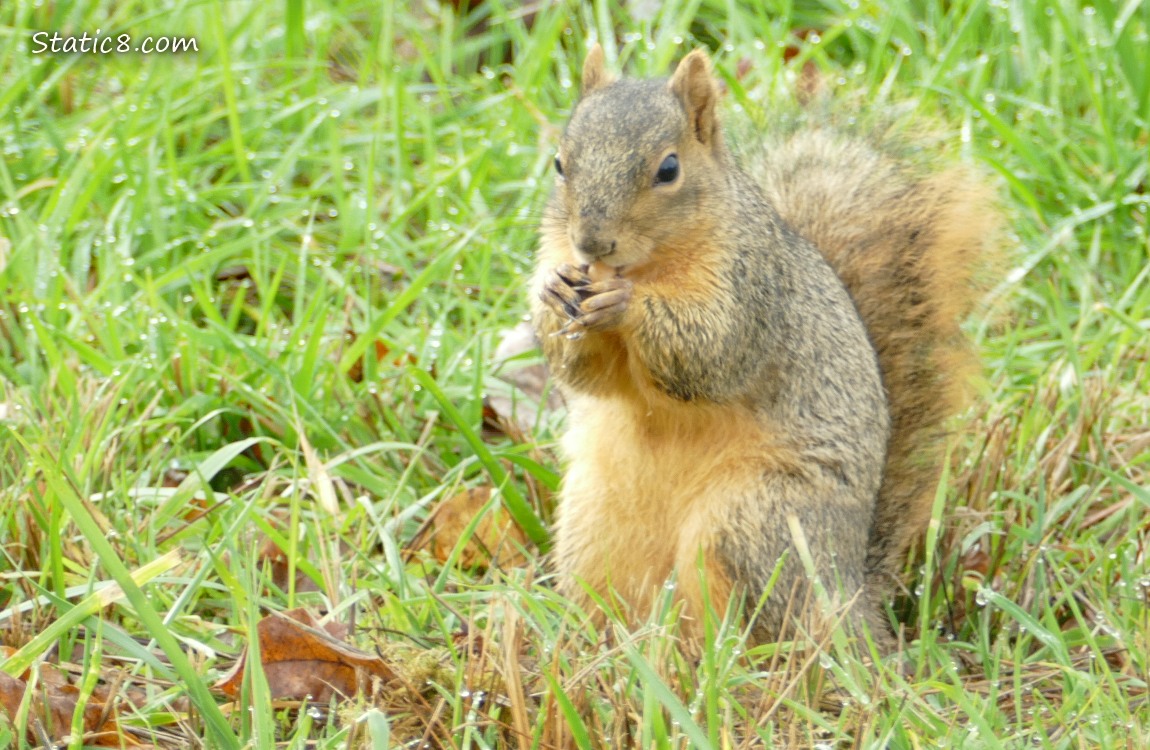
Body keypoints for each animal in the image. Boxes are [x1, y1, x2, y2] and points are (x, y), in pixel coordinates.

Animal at [530, 45, 999, 647]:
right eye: (559, 164)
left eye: (668, 169)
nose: (591, 243)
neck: (648, 263)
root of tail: (850, 590)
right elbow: (588, 374)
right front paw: (552, 291)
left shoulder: (752, 287)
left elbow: (710, 350)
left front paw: (625, 302)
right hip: (595, 531)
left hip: (758, 521)